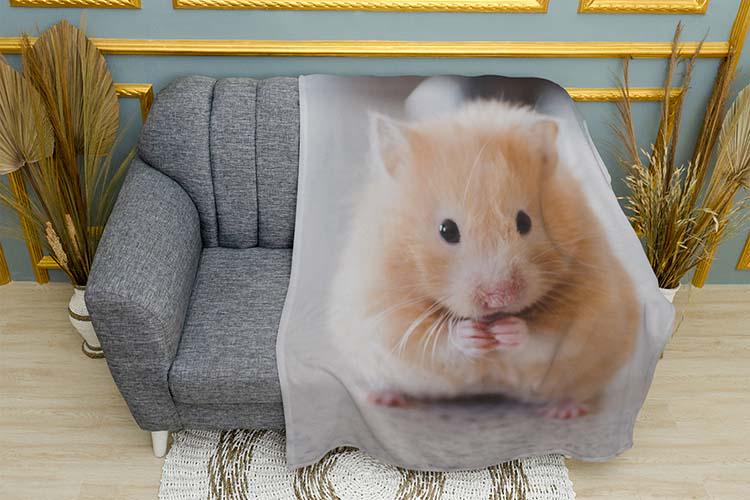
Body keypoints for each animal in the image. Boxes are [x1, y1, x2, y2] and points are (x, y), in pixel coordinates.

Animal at [329, 100, 640, 419]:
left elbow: (544, 338)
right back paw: (382, 398)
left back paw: (564, 411)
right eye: (447, 230)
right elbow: (435, 342)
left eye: (525, 222)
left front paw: (508, 331)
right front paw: (472, 335)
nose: (499, 298)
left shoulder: (586, 306)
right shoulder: (384, 313)